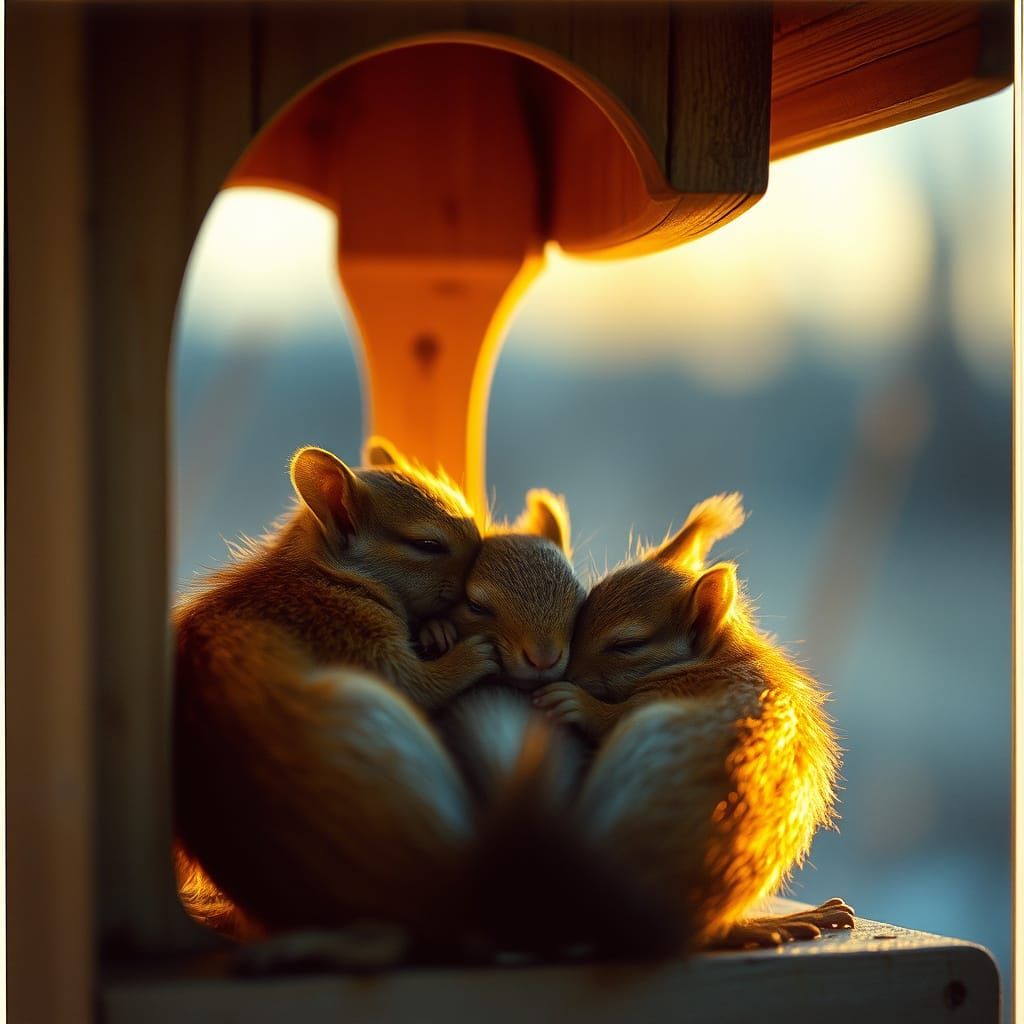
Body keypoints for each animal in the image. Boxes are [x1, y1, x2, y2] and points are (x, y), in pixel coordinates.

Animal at [533, 494, 854, 949]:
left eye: (628, 645)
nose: (568, 675)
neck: (713, 659)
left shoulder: (664, 696)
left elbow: (610, 718)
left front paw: (576, 701)